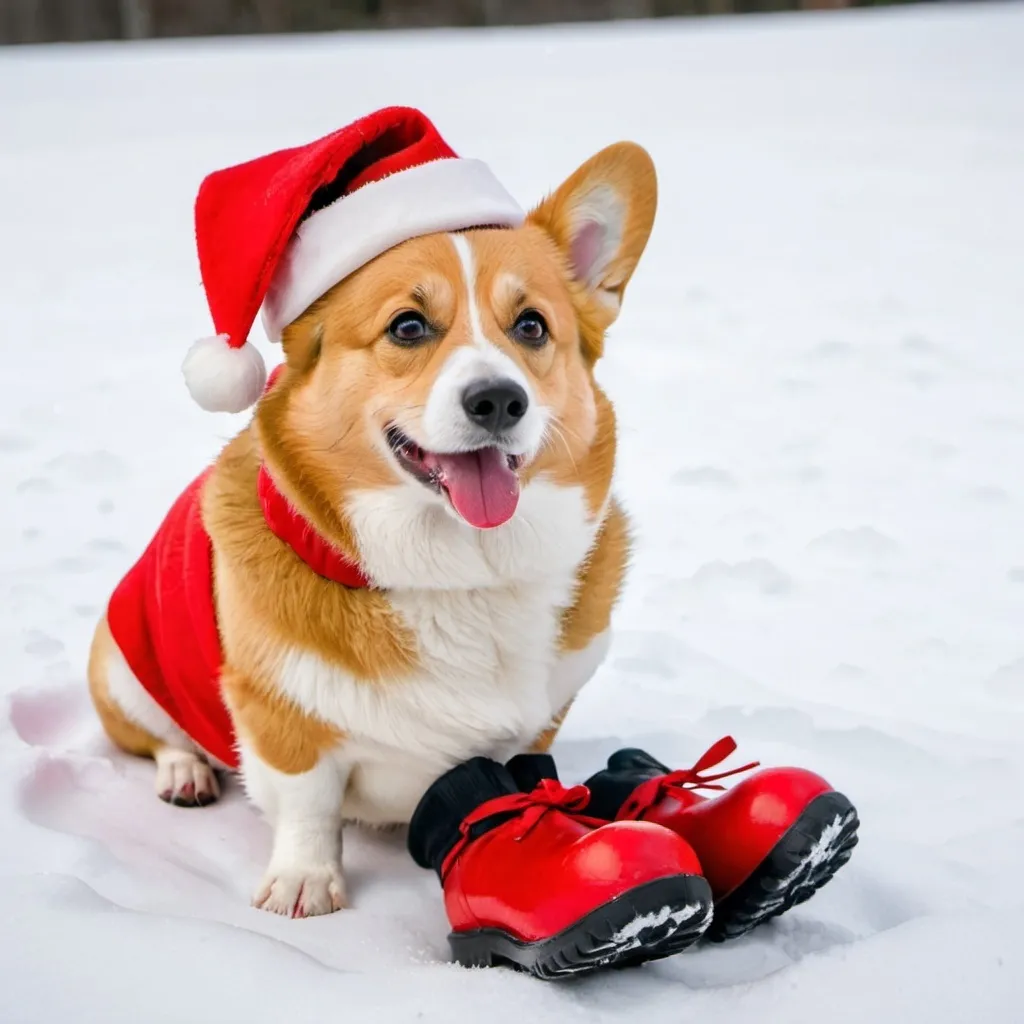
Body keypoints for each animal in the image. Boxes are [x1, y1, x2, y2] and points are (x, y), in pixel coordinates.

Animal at [92, 110, 659, 913]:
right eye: (408, 327)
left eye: (531, 327)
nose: (498, 400)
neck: (459, 573)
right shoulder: (281, 720)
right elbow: (308, 805)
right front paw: (304, 884)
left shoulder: (536, 723)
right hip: (123, 665)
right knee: (158, 737)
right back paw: (185, 772)